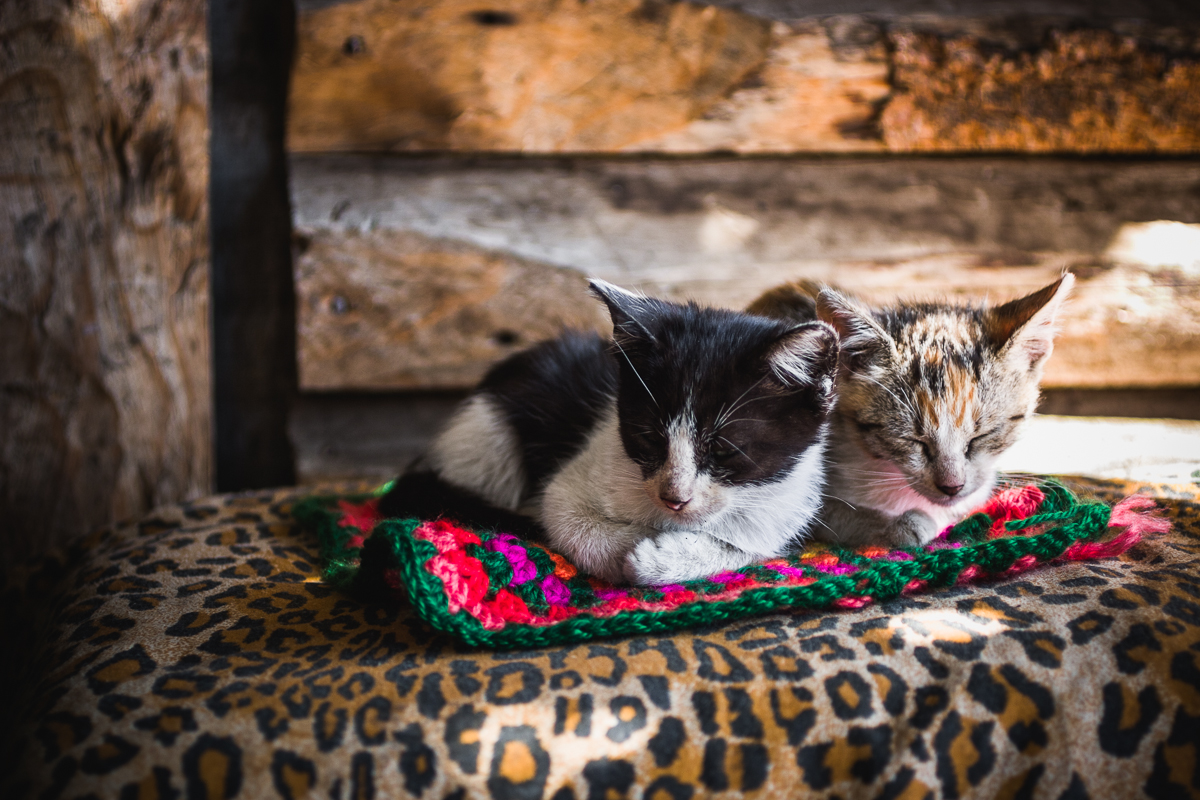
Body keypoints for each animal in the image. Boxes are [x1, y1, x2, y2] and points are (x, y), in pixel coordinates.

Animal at [379, 280, 840, 582]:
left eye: (725, 450)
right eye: (650, 437)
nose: (674, 498)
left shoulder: (787, 503)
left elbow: (746, 546)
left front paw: (665, 557)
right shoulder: (575, 476)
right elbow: (566, 518)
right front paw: (632, 552)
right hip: (487, 437)